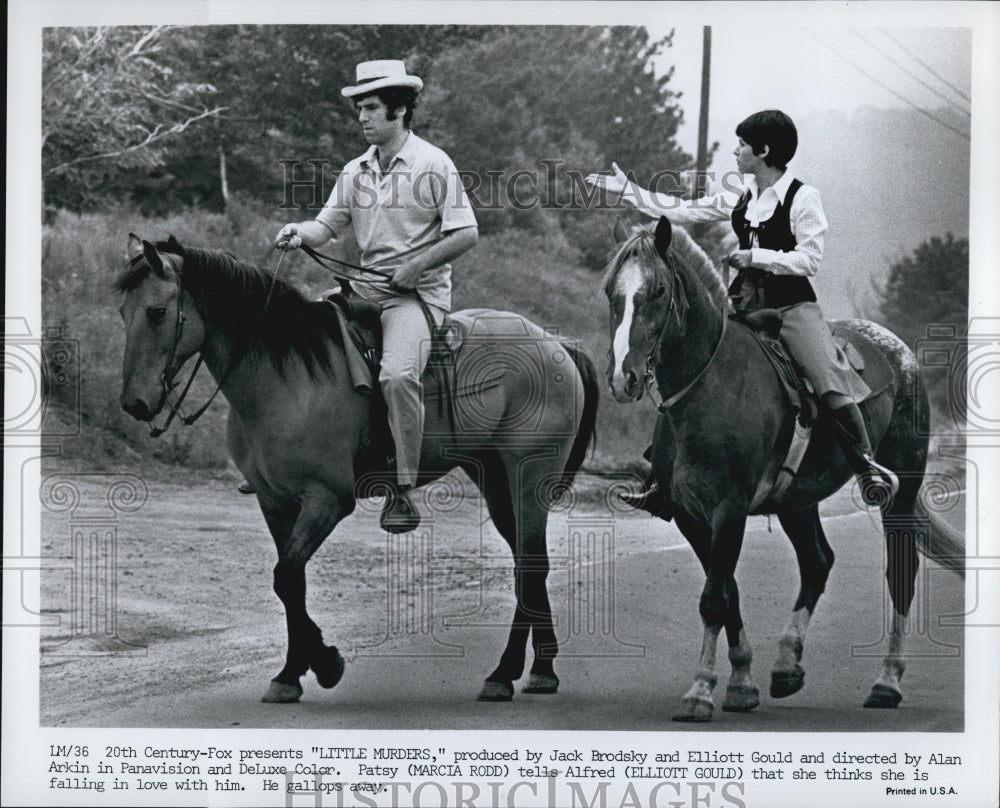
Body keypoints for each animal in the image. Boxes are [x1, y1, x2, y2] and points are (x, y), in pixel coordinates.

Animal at [120, 234, 596, 700]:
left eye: (157, 312)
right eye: (125, 312)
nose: (134, 403)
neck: (287, 378)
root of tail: (556, 344)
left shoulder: (327, 500)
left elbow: (286, 577)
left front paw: (325, 663)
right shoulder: (275, 502)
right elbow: (292, 583)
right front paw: (291, 674)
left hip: (528, 478)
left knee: (530, 566)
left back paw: (513, 672)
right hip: (495, 481)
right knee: (525, 565)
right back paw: (533, 670)